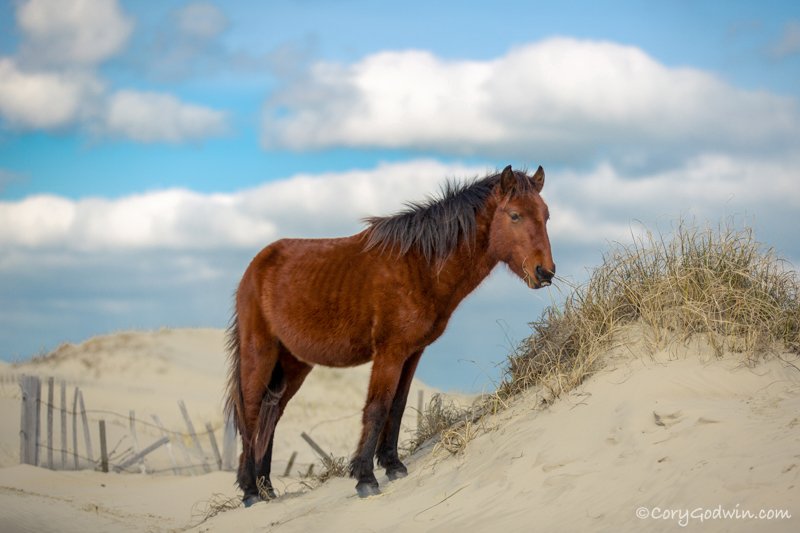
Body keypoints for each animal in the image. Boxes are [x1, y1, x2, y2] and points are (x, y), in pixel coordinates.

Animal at [225, 164, 555, 505]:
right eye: (514, 215)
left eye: (546, 216)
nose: (544, 272)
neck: (420, 265)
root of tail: (256, 265)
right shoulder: (390, 352)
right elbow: (377, 407)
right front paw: (365, 477)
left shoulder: (412, 353)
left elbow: (397, 405)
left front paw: (393, 465)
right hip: (259, 354)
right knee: (250, 413)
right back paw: (250, 490)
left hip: (294, 364)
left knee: (272, 413)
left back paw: (266, 487)